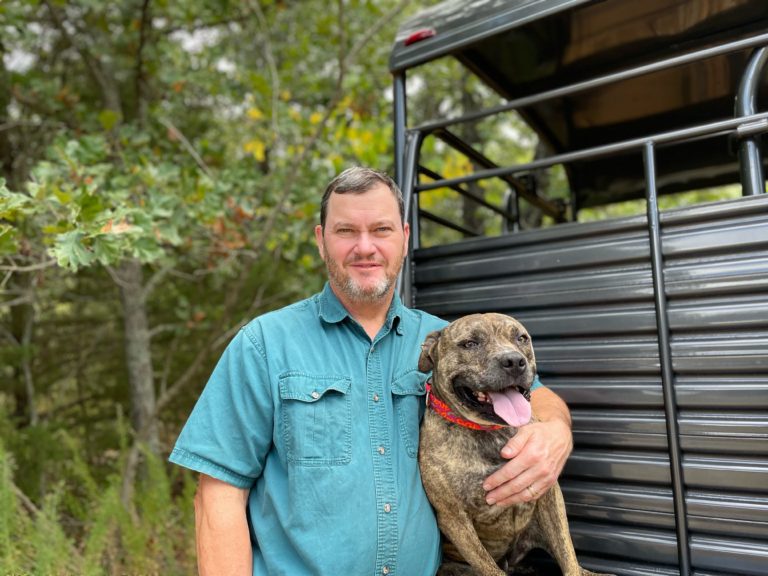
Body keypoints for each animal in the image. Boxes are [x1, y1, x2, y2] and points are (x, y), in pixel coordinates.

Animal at [416, 316, 608, 576]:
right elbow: (487, 566)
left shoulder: (549, 492)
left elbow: (567, 553)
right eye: (469, 344)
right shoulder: (454, 518)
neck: (491, 432)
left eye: (521, 338)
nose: (514, 361)